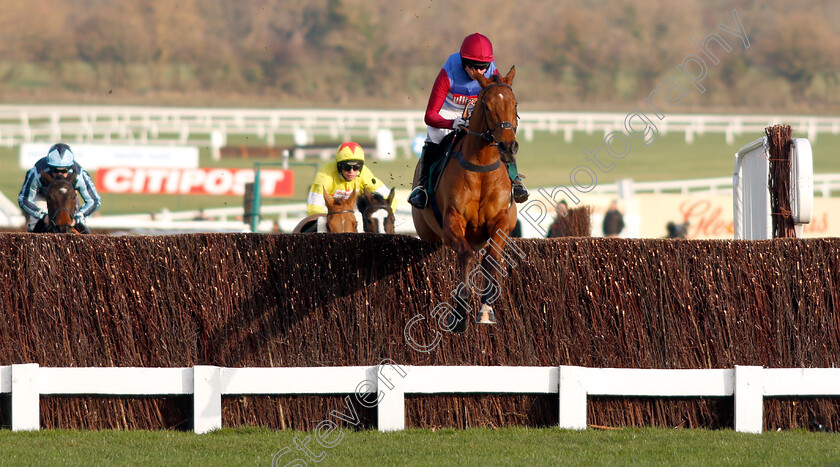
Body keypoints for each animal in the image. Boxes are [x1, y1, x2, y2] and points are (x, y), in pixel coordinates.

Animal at [412, 67, 520, 334]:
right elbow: (465, 255)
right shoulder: (453, 219)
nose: (508, 147)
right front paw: (460, 313)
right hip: (427, 231)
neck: (481, 166)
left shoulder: (501, 221)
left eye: (514, 104)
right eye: (487, 106)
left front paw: (486, 310)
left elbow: (490, 259)